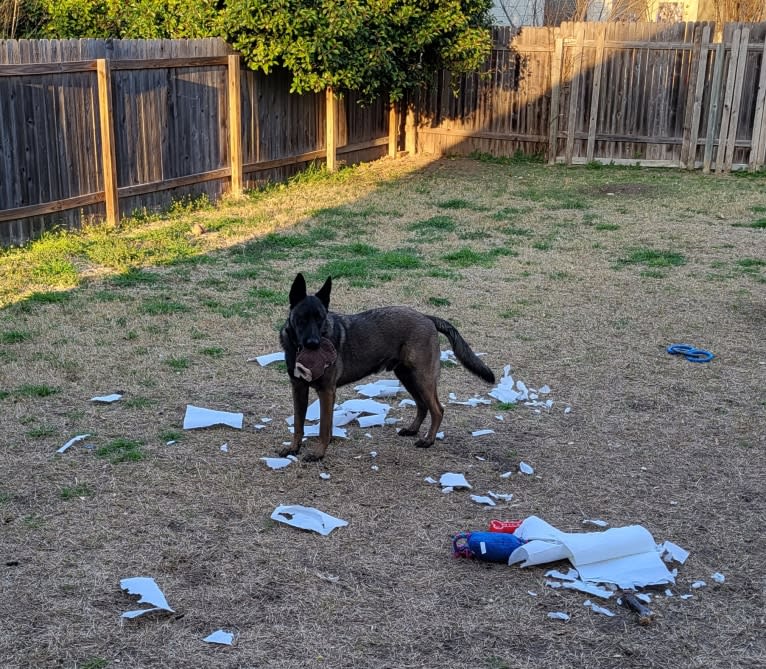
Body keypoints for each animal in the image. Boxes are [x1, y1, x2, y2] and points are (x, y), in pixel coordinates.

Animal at [280, 272, 496, 460]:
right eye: (302, 319)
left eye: (321, 319)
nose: (313, 344)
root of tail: (426, 317)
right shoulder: (299, 388)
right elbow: (298, 423)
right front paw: (294, 448)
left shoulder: (326, 391)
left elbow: (324, 427)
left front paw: (318, 453)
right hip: (408, 377)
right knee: (422, 405)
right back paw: (413, 430)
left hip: (422, 378)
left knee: (437, 409)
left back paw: (428, 440)